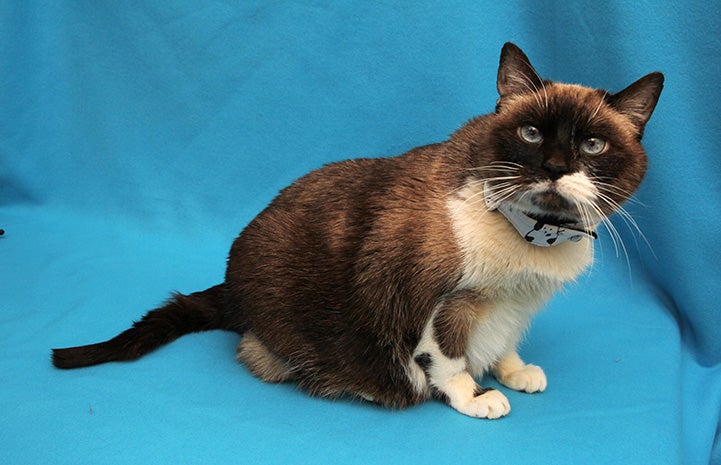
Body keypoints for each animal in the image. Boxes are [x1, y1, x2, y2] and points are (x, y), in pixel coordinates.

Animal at [52, 43, 664, 418]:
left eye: (593, 146)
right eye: (532, 134)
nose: (555, 167)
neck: (536, 236)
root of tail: (233, 283)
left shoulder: (519, 302)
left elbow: (507, 338)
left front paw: (513, 371)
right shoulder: (441, 300)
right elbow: (448, 357)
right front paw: (476, 395)